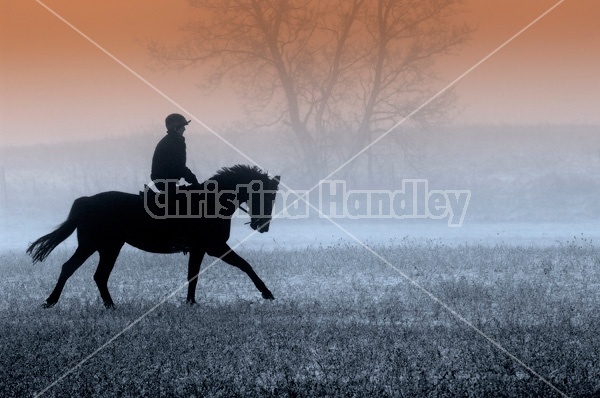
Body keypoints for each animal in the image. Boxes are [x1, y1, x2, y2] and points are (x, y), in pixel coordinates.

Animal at [27, 163, 280, 310]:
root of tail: (87, 201)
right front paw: (267, 293)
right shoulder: (215, 246)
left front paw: (190, 302)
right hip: (103, 246)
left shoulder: (200, 249)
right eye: (263, 195)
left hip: (99, 247)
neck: (211, 201)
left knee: (82, 271)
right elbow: (245, 265)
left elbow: (193, 275)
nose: (263, 226)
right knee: (86, 272)